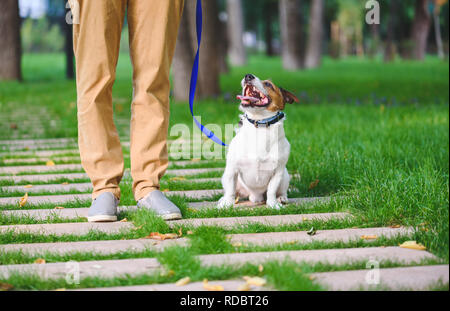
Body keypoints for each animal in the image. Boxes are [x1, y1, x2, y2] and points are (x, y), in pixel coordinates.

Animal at [218, 74, 298, 210]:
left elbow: (271, 190)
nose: (248, 76)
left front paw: (273, 204)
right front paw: (226, 204)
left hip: (285, 176)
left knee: (281, 191)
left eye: (268, 84)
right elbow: (230, 191)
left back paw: (281, 198)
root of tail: (255, 196)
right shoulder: (232, 170)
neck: (260, 125)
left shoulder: (278, 172)